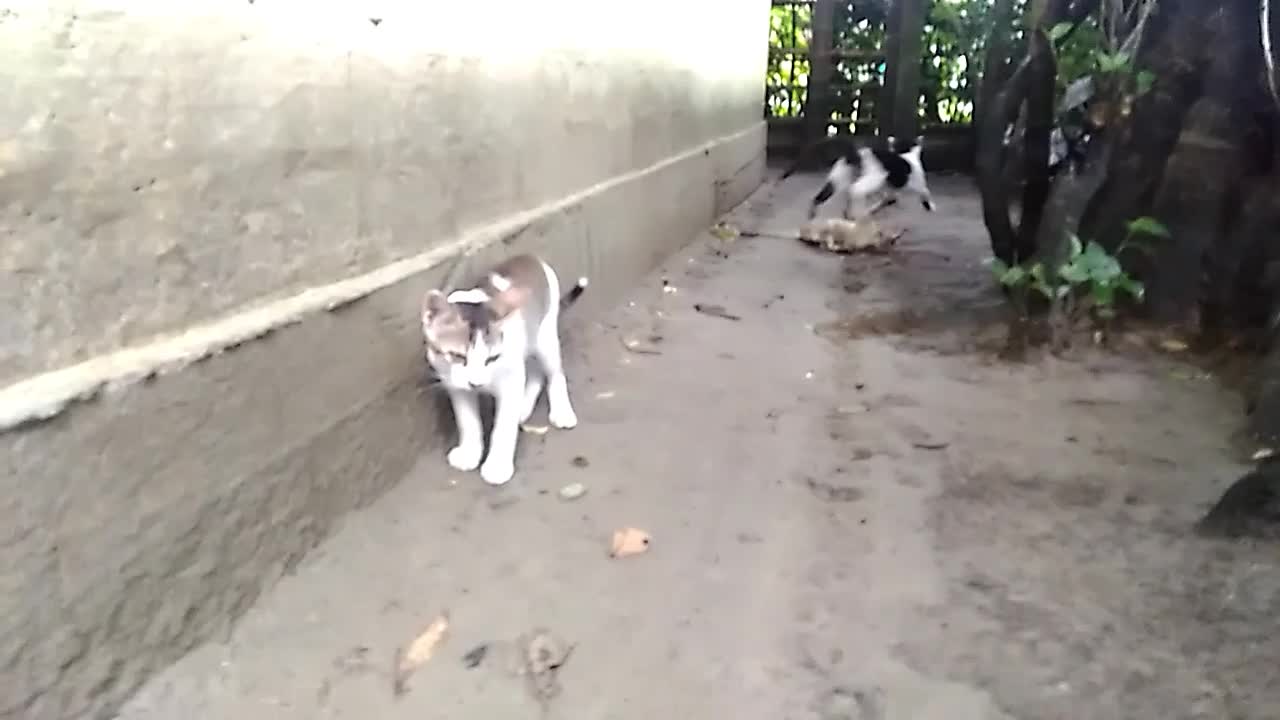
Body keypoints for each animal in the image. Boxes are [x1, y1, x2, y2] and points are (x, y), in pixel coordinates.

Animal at [419, 251, 586, 481]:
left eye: (492, 358)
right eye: (457, 356)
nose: (476, 383)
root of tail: (530, 256)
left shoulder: (510, 379)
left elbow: (503, 426)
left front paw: (497, 466)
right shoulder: (455, 385)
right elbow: (468, 421)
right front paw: (469, 453)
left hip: (545, 336)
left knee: (554, 374)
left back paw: (561, 411)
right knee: (534, 373)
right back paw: (524, 407)